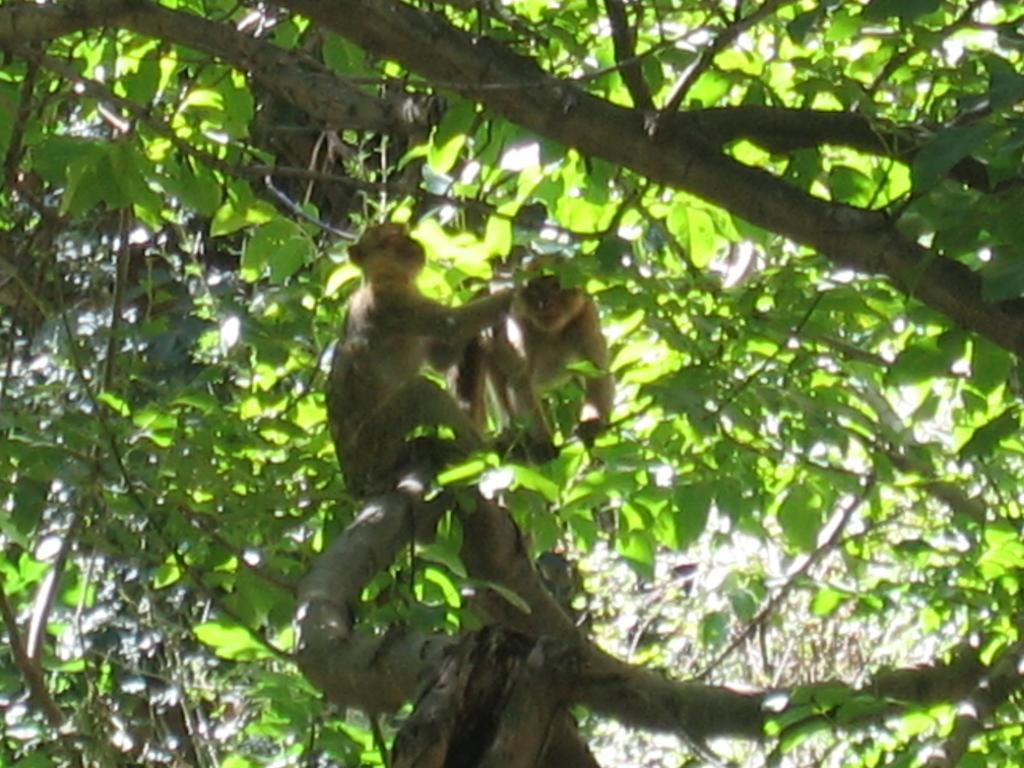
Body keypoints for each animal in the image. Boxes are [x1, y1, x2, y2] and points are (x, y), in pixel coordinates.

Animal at [331, 225, 516, 495]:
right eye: (389, 238)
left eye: (403, 230)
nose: (413, 242)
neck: (384, 276)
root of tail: (352, 483)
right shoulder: (391, 302)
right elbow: (452, 325)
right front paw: (516, 288)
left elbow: (442, 357)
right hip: (374, 445)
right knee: (421, 392)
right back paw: (480, 448)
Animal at [456, 264, 614, 462]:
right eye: (534, 287)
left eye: (556, 285)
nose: (544, 303)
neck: (551, 332)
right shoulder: (519, 325)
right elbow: (520, 380)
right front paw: (542, 442)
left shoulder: (585, 316)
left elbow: (597, 372)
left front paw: (593, 423)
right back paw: (513, 435)